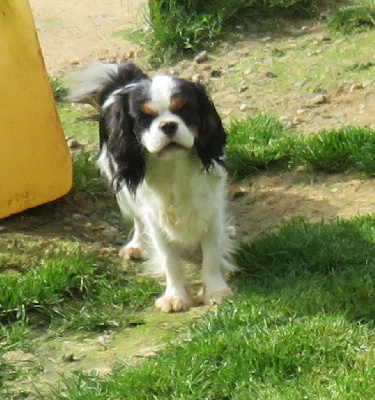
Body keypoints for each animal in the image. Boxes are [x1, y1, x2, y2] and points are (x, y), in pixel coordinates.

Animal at [70, 62, 235, 312]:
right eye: (144, 118)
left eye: (184, 110)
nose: (168, 125)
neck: (174, 166)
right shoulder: (154, 216)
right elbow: (170, 259)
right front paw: (176, 297)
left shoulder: (211, 208)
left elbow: (211, 252)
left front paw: (215, 291)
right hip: (125, 192)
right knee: (138, 221)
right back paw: (136, 246)